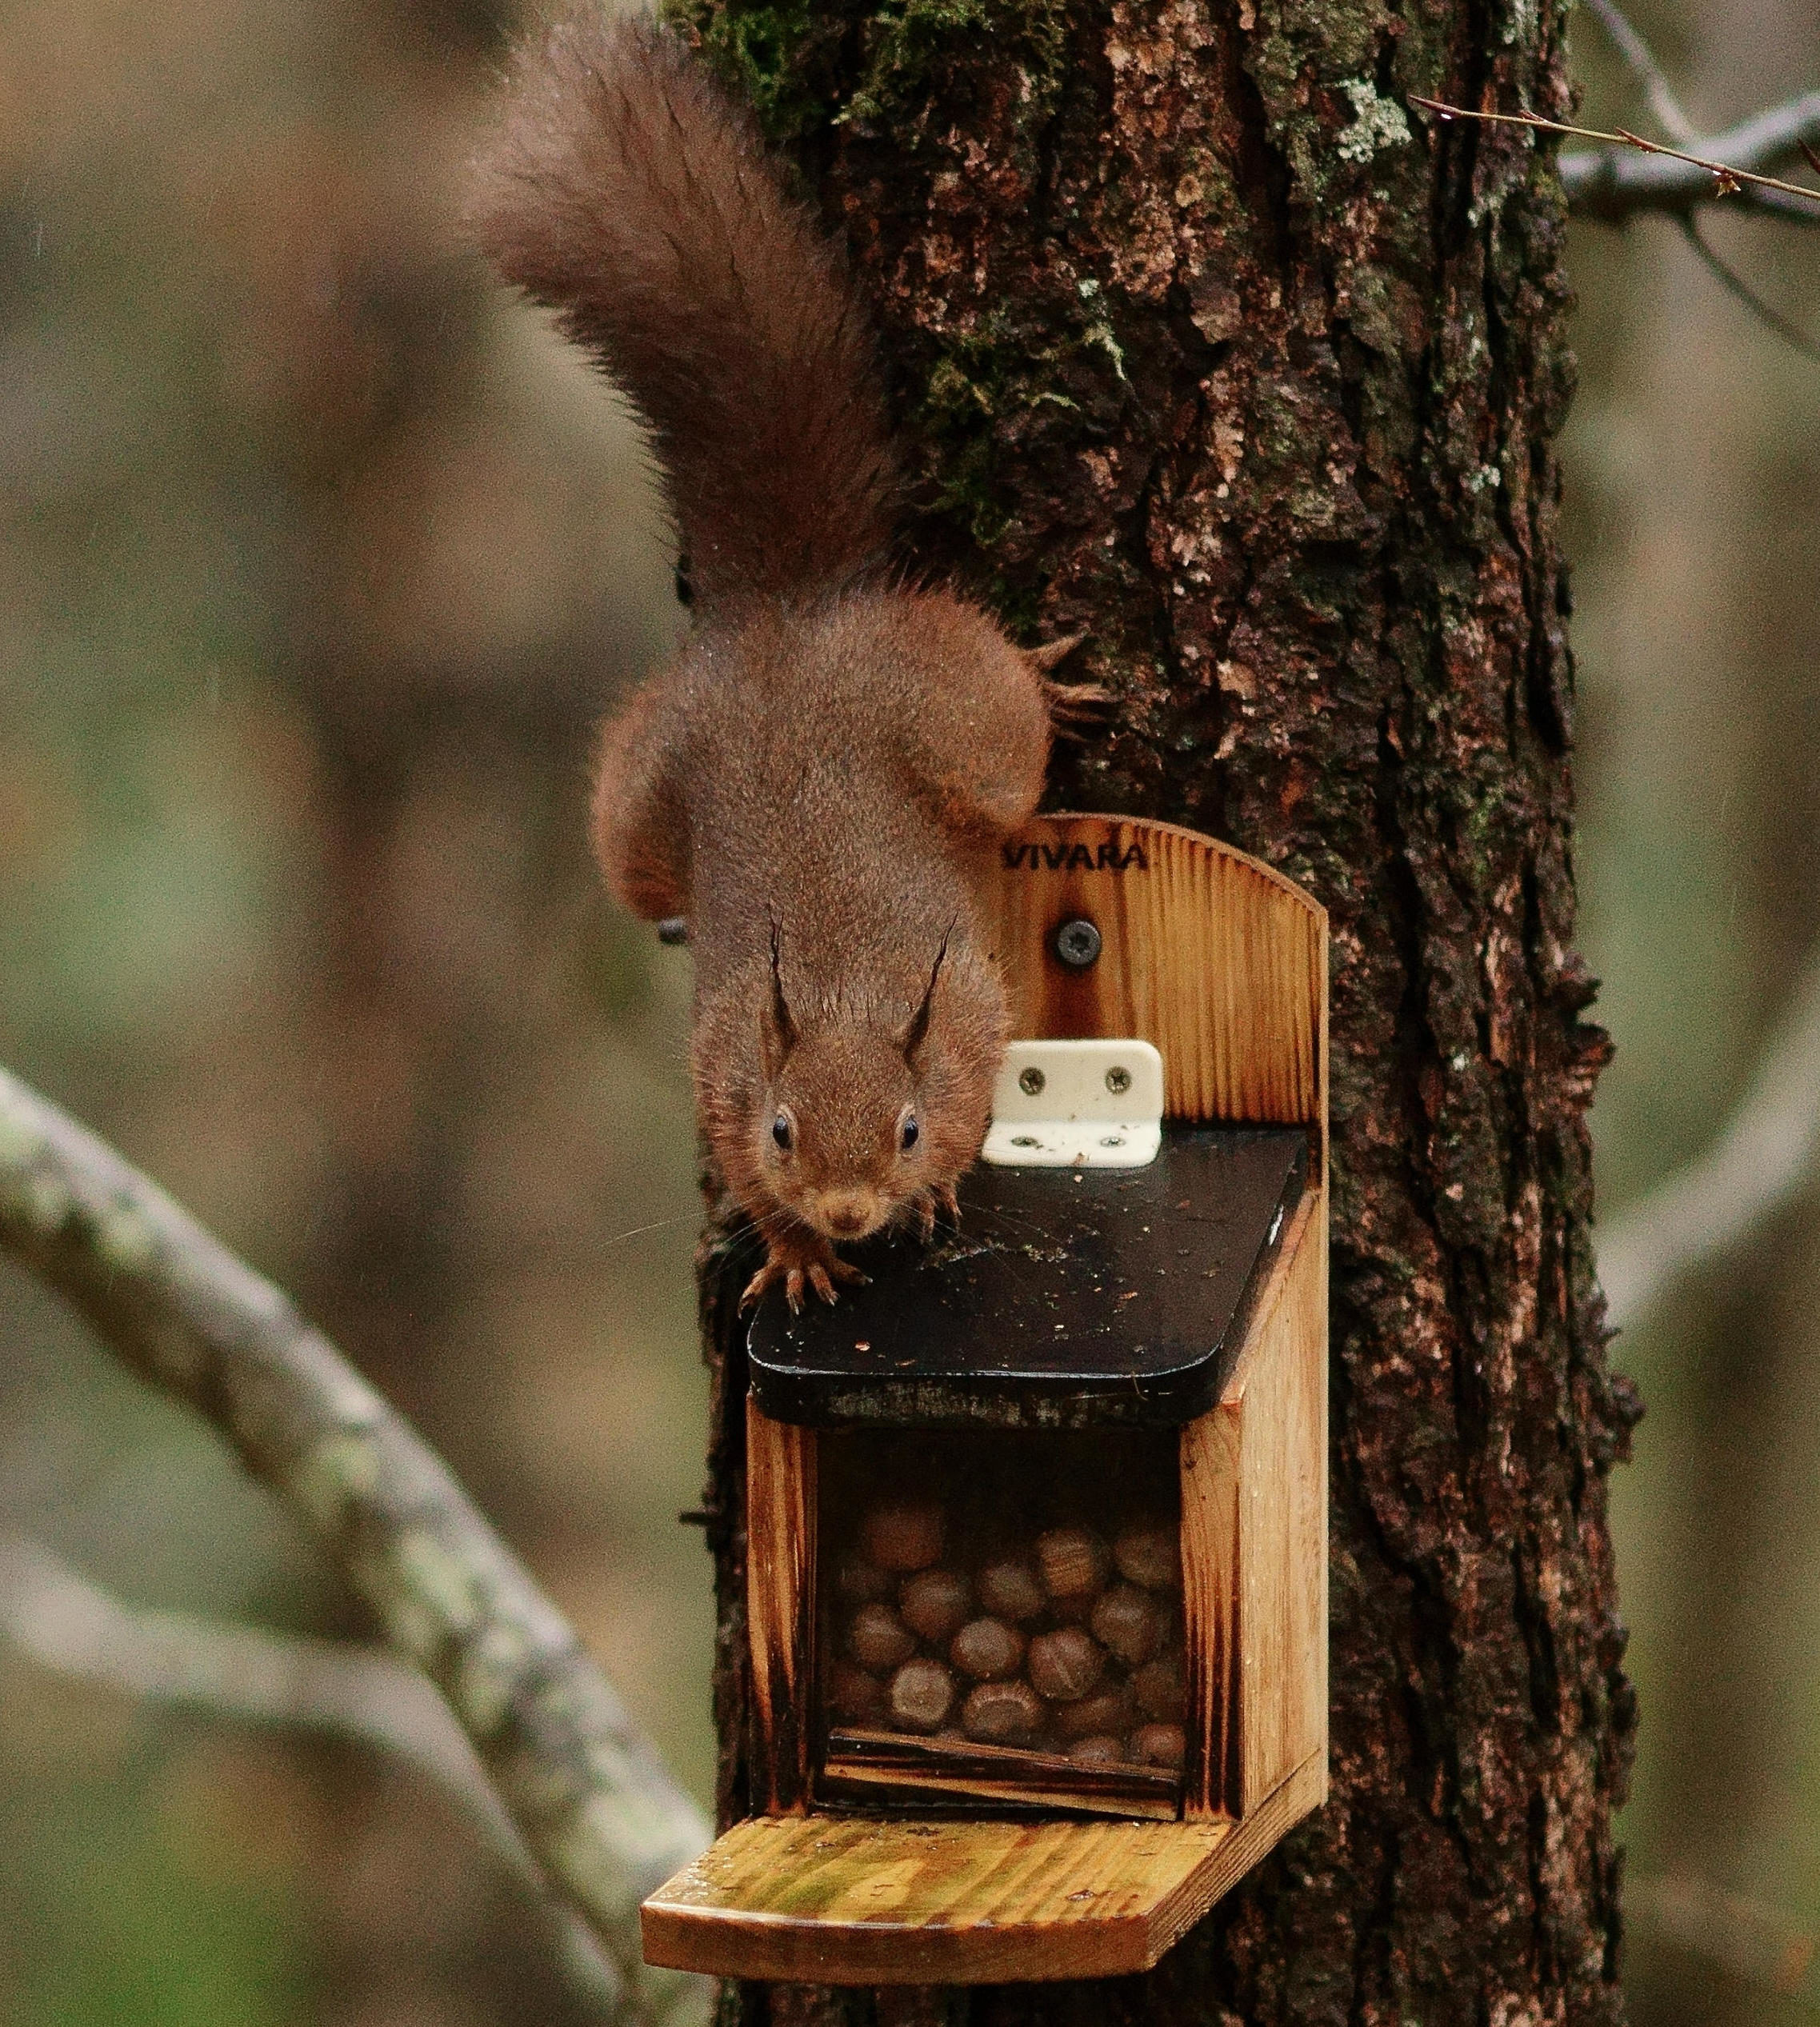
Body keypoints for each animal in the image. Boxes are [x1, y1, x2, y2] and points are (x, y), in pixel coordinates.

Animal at [474, 7, 1086, 1313]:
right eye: (782, 1131)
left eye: (905, 1129)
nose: (850, 1212)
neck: (847, 985)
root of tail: (783, 620)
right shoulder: (720, 1079)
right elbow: (746, 1186)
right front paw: (799, 1252)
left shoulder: (968, 1023)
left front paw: (935, 1197)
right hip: (642, 812)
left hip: (964, 741)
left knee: (1008, 729)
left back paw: (1047, 672)